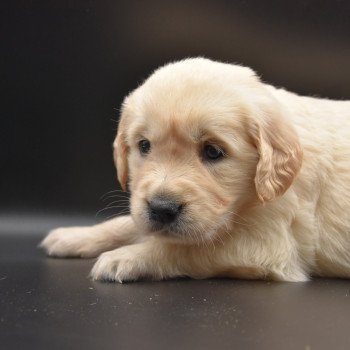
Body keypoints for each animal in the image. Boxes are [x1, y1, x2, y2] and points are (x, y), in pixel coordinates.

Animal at [39, 57, 350, 282]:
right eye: (144, 145)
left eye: (213, 151)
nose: (162, 209)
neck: (246, 201)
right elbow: (128, 222)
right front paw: (75, 235)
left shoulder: (268, 246)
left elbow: (187, 248)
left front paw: (124, 257)